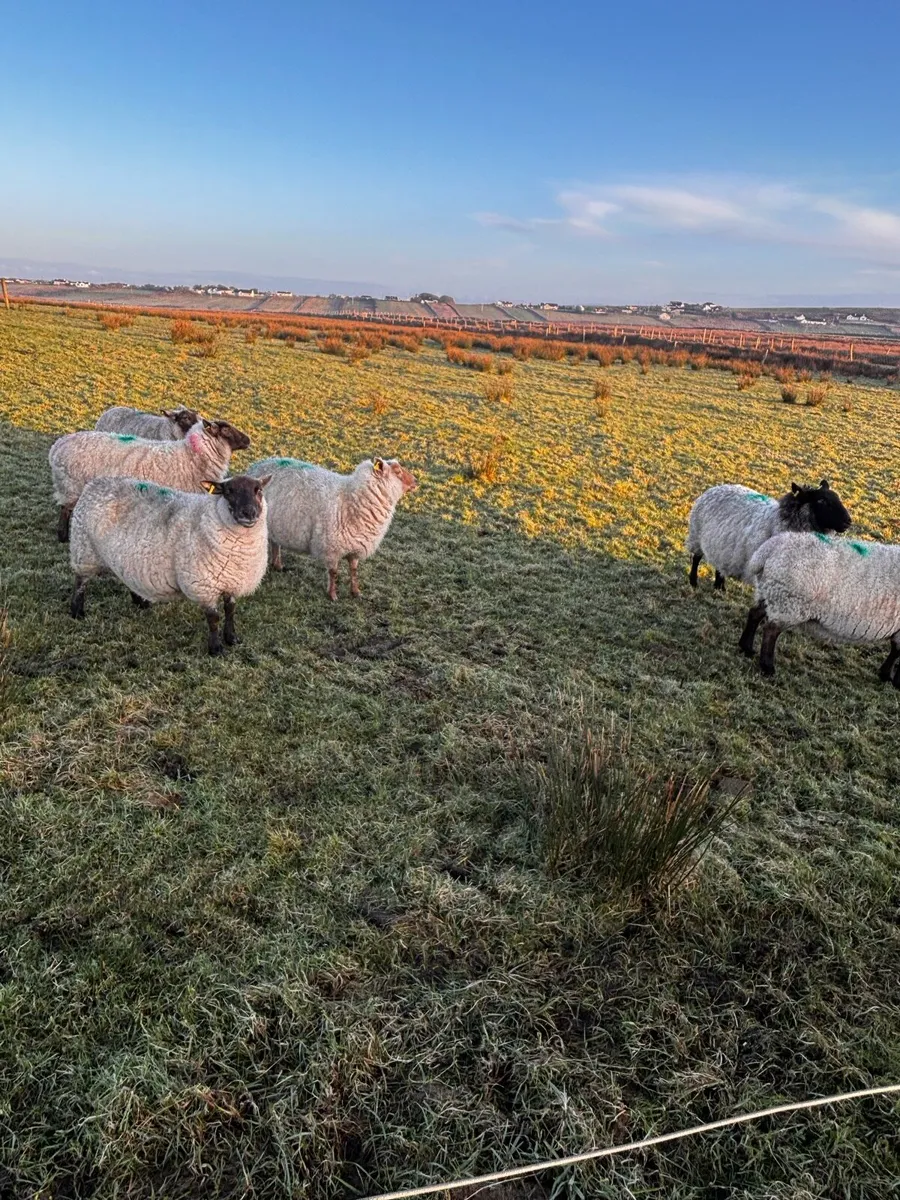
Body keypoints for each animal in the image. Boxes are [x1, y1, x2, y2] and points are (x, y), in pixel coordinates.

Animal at [49, 418, 251, 542]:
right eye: (226, 429)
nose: (248, 439)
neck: (191, 456)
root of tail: (57, 446)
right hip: (71, 486)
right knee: (65, 510)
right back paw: (63, 537)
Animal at [69, 473, 272, 655]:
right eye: (229, 491)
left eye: (259, 490)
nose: (249, 513)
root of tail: (94, 483)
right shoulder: (203, 586)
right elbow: (213, 618)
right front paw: (216, 649)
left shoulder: (232, 581)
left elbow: (230, 610)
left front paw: (232, 638)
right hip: (84, 550)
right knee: (80, 581)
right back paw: (77, 612)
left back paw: (140, 602)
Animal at [246, 455, 418, 600]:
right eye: (397, 471)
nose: (416, 481)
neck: (352, 499)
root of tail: (259, 463)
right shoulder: (331, 547)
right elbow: (333, 572)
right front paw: (333, 595)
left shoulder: (355, 547)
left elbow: (354, 570)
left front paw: (356, 592)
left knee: (275, 543)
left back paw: (278, 565)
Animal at [686, 480, 851, 591]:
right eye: (822, 500)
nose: (848, 521)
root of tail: (716, 488)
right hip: (696, 535)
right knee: (696, 558)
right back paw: (693, 582)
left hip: (724, 545)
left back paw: (719, 586)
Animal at [739, 531, 900, 684]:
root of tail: (769, 548)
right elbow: (897, 653)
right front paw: (891, 678)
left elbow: (895, 651)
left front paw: (885, 675)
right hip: (788, 603)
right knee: (771, 630)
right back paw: (767, 668)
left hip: (770, 592)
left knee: (755, 614)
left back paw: (746, 648)